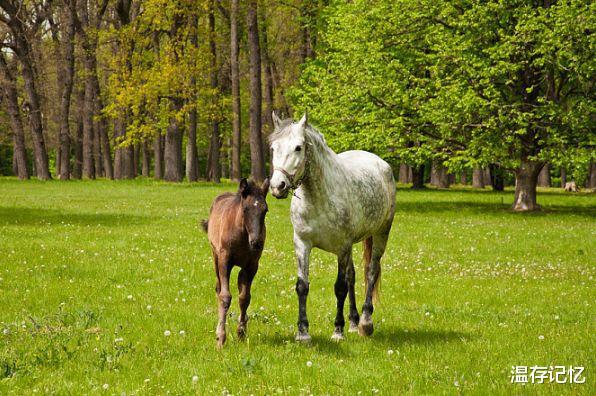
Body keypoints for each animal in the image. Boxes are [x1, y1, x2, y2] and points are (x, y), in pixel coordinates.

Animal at [204, 178, 272, 348]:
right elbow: (225, 296)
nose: (256, 243)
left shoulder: (252, 265)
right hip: (215, 257)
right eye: (245, 209)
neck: (242, 235)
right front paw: (220, 338)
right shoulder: (224, 260)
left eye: (265, 210)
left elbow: (244, 298)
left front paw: (241, 332)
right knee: (218, 288)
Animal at [270, 111, 396, 340]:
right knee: (353, 276)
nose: (278, 186)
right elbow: (302, 286)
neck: (318, 198)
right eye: (273, 148)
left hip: (381, 234)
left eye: (298, 147)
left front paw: (338, 330)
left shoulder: (342, 247)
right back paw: (354, 322)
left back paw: (365, 322)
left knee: (371, 272)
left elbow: (340, 287)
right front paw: (303, 332)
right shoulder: (302, 243)